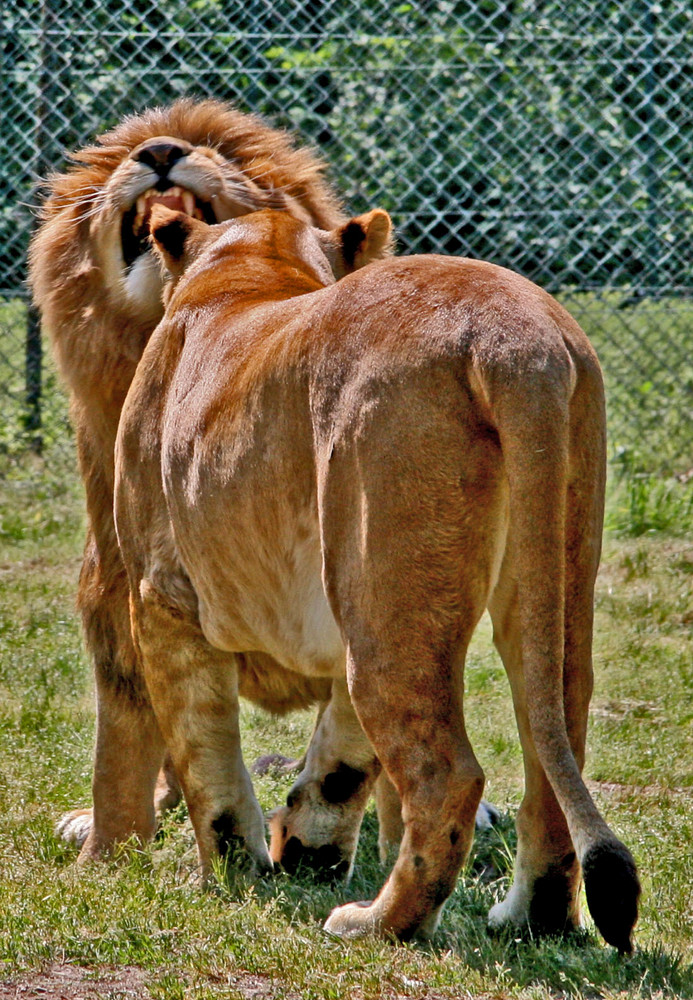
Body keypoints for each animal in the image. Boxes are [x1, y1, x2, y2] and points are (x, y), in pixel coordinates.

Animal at [112, 205, 636, 952]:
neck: (248, 270)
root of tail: (515, 335)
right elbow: (343, 754)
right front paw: (307, 850)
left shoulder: (162, 596)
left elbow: (205, 756)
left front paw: (237, 872)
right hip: (542, 572)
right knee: (553, 738)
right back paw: (528, 919)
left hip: (383, 590)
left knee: (448, 776)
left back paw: (378, 924)